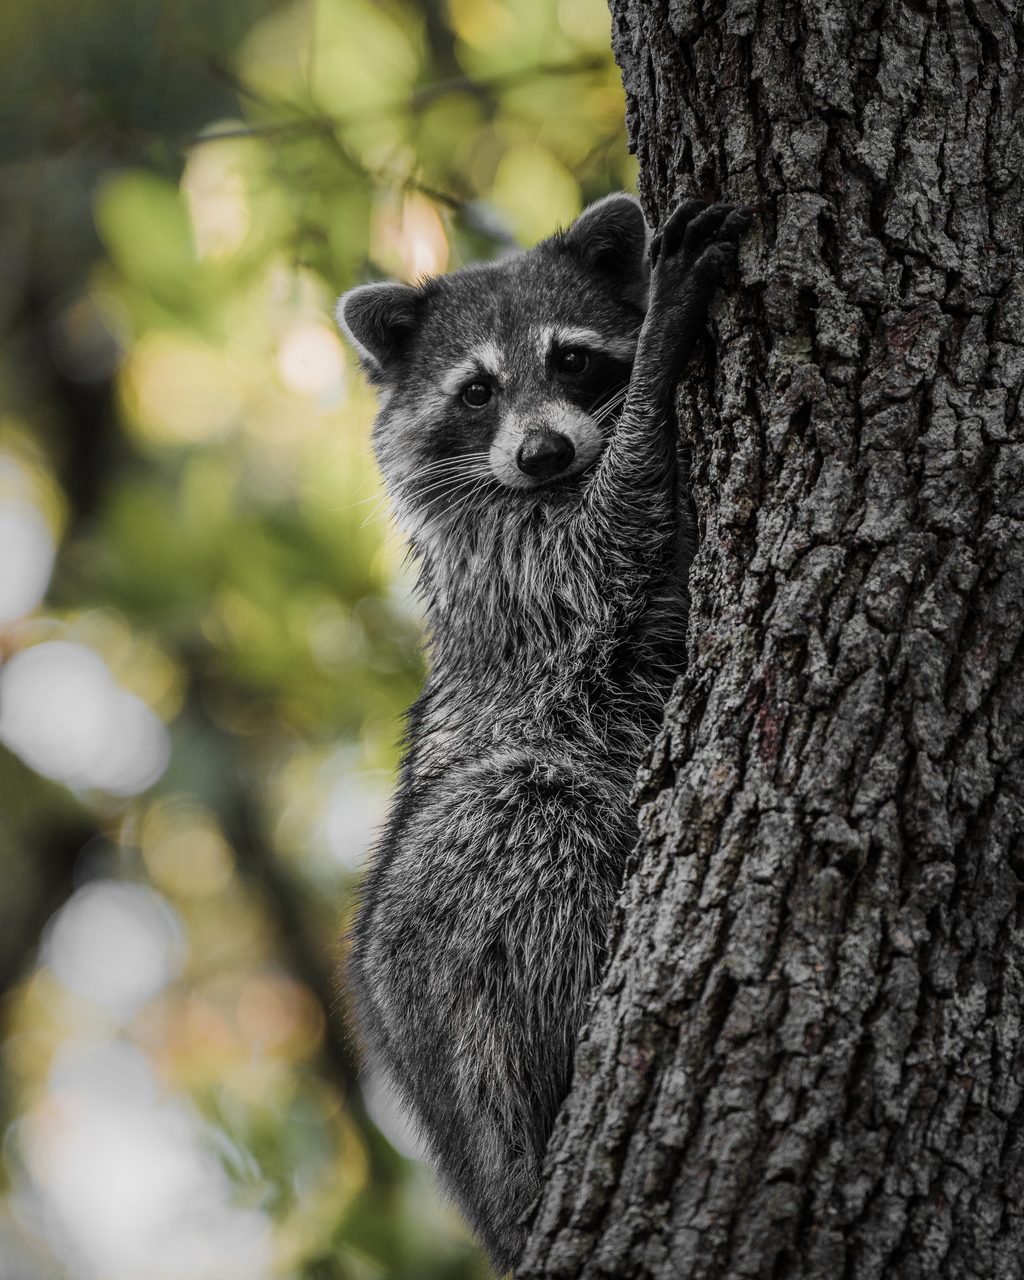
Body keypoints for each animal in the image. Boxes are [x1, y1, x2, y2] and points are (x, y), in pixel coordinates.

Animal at [337, 194, 753, 1272]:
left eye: (570, 360)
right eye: (477, 391)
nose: (543, 453)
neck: (543, 485)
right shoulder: (519, 567)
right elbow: (614, 543)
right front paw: (656, 367)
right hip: (450, 950)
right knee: (519, 806)